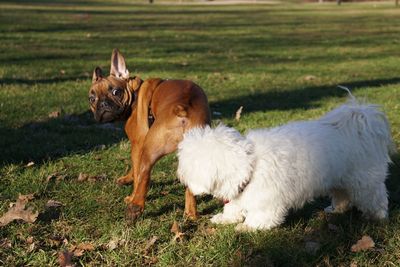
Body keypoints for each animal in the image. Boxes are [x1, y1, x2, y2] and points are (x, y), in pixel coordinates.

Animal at [89, 49, 211, 221]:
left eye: (116, 92)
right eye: (92, 99)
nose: (103, 104)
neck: (134, 93)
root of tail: (184, 109)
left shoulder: (137, 144)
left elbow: (136, 171)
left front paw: (130, 190)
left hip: (150, 149)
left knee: (144, 175)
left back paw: (134, 206)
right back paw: (191, 214)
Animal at [177, 99, 394, 231]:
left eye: (187, 164)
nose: (180, 176)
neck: (250, 166)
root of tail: (360, 124)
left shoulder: (267, 201)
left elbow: (261, 217)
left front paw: (247, 226)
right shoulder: (238, 194)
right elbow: (233, 208)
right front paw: (226, 218)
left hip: (365, 181)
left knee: (376, 198)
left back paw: (377, 217)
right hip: (339, 179)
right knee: (343, 196)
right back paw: (337, 210)